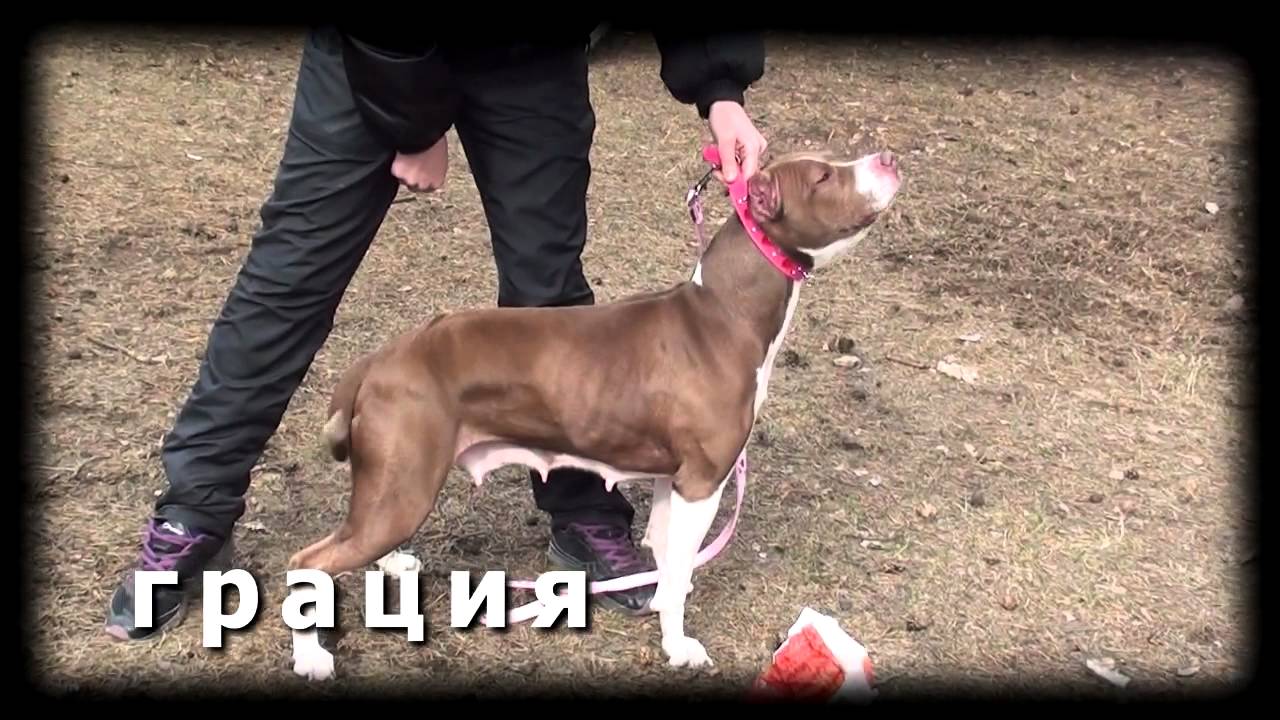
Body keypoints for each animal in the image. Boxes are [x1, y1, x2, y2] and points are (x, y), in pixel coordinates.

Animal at [286, 147, 903, 679]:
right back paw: (312, 657)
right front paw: (679, 646)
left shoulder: (672, 478)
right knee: (309, 560)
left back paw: (393, 567)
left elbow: (667, 558)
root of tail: (379, 359)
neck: (726, 310)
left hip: (394, 487)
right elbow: (676, 577)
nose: (888, 157)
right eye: (823, 176)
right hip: (405, 484)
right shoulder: (702, 481)